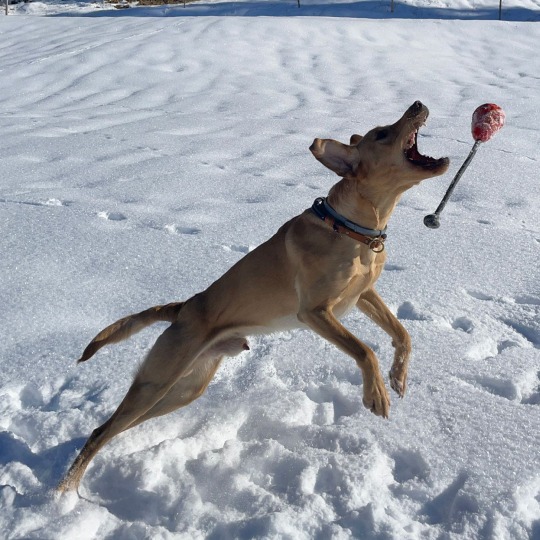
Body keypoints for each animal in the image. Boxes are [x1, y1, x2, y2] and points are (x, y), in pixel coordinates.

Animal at [57, 102, 450, 494]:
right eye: (382, 133)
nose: (418, 104)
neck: (353, 230)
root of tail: (182, 309)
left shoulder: (364, 294)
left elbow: (402, 333)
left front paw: (398, 376)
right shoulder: (315, 312)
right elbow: (365, 350)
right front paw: (376, 394)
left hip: (186, 387)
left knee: (112, 427)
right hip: (158, 380)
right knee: (100, 431)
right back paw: (64, 493)